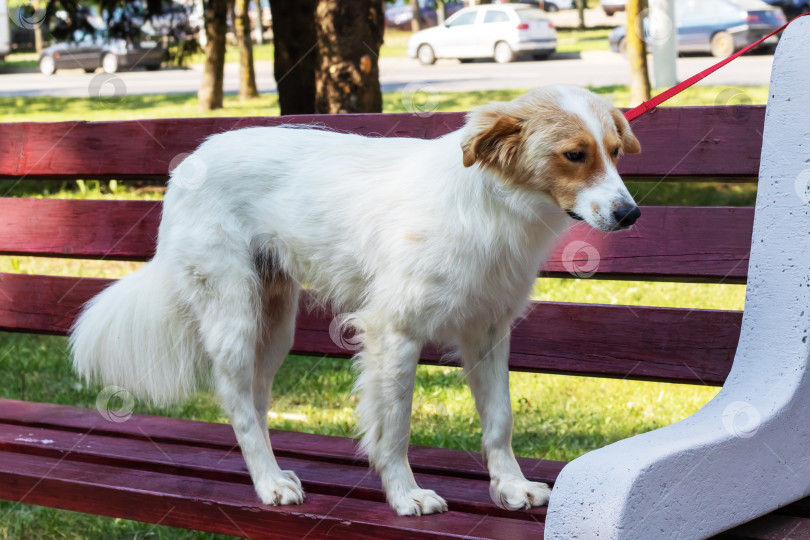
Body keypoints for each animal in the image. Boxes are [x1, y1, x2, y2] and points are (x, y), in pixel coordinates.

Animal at [71, 84, 636, 516]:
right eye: (574, 154)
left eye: (614, 151)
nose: (630, 214)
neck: (494, 207)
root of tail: (189, 163)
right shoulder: (395, 332)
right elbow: (395, 428)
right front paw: (405, 495)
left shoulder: (488, 331)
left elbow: (500, 420)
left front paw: (510, 487)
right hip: (234, 317)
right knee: (235, 401)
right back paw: (267, 482)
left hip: (274, 326)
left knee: (254, 399)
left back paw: (273, 472)